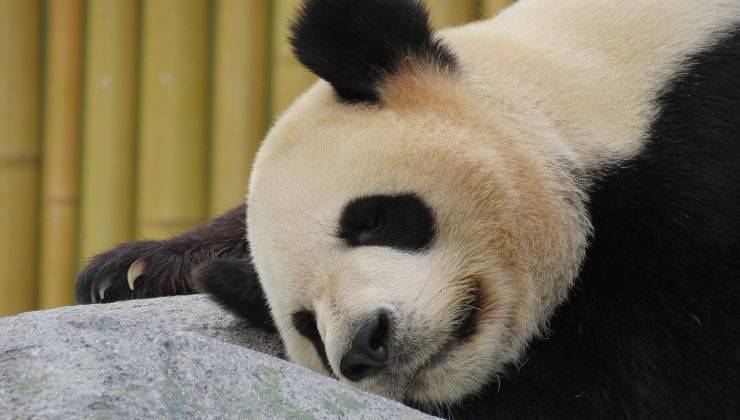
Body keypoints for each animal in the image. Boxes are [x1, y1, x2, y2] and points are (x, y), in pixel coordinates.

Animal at [75, 0, 740, 417]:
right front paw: (135, 269)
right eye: (305, 325)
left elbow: (651, 379)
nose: (367, 345)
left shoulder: (695, 158)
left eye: (370, 219)